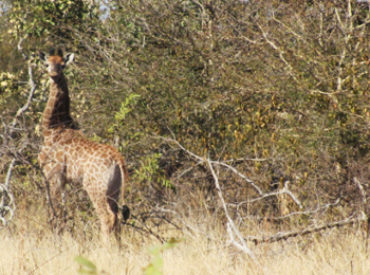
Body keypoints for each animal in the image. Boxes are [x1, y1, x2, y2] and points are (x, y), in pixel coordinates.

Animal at [37, 50, 130, 242]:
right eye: (47, 64)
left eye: (62, 65)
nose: (54, 74)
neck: (53, 127)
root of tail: (118, 159)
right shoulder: (63, 180)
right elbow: (63, 212)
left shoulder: (52, 175)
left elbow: (55, 211)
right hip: (114, 190)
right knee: (117, 217)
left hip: (95, 187)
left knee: (107, 217)